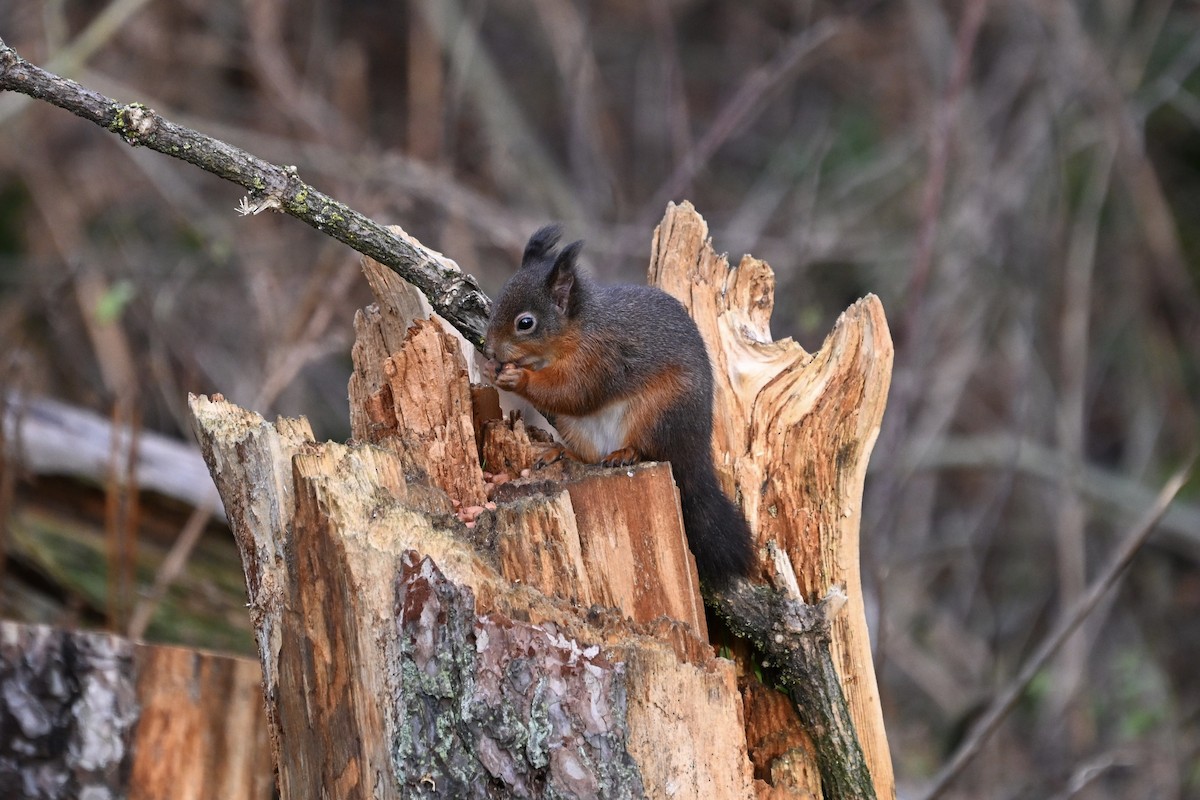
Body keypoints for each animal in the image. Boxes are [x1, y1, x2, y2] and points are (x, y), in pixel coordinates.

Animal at [484, 224, 754, 587]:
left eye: (525, 323)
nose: (491, 350)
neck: (576, 331)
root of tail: (695, 452)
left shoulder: (602, 357)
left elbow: (574, 392)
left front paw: (518, 378)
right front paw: (491, 370)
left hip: (659, 413)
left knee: (652, 449)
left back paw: (626, 453)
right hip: (577, 427)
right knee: (589, 455)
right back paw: (562, 452)